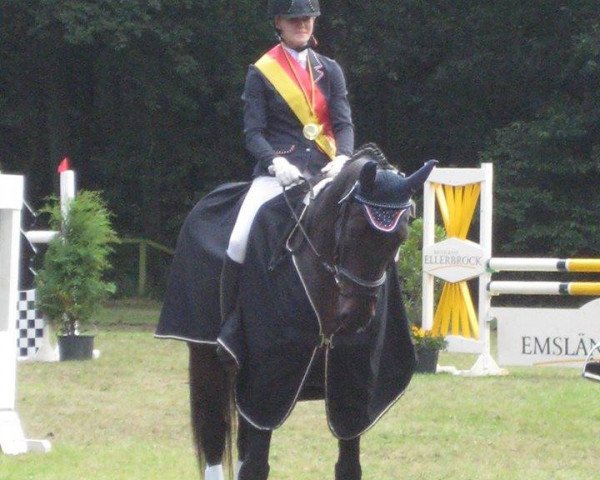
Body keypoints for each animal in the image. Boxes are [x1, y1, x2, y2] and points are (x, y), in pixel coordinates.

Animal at [156, 145, 436, 480]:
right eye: (354, 229)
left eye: (401, 236)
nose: (357, 316)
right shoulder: (269, 378)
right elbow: (256, 466)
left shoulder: (351, 385)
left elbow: (348, 466)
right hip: (207, 357)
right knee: (213, 437)